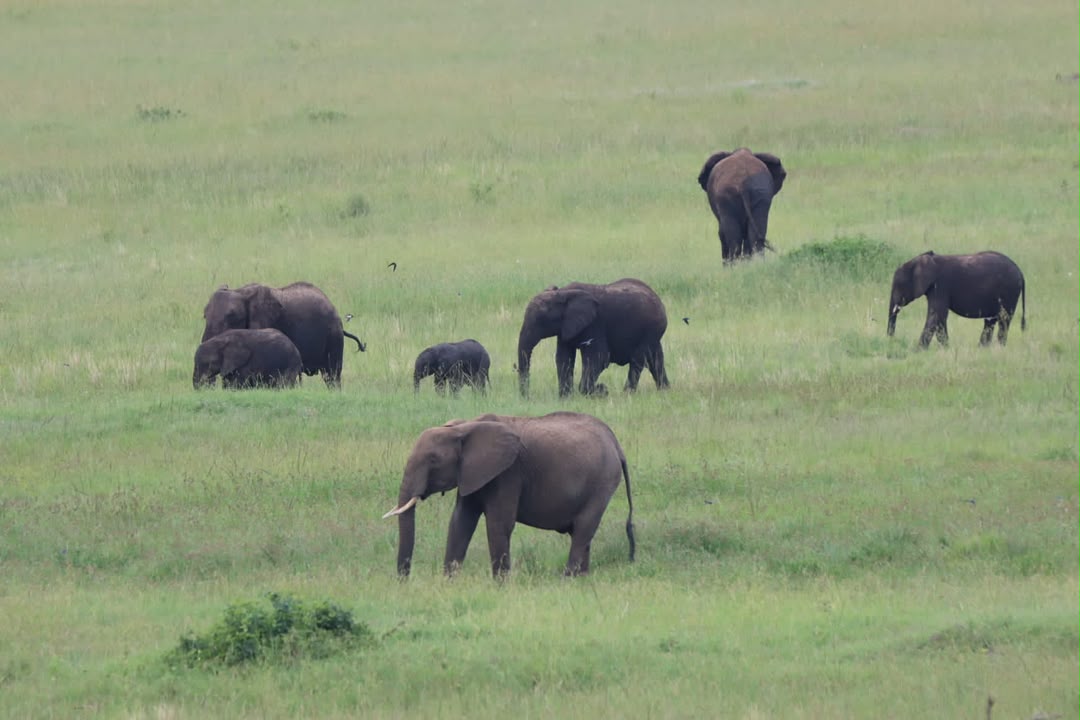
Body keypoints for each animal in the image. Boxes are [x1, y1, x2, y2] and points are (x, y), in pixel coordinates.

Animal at [382, 412, 636, 579]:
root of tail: (617, 445)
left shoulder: (508, 473)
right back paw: (582, 579)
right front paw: (449, 582)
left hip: (602, 481)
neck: (464, 427)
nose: (404, 580)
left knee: (583, 530)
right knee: (583, 535)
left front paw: (500, 586)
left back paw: (567, 579)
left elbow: (498, 523)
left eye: (433, 460)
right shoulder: (472, 473)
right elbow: (460, 522)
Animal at [517, 278, 669, 398]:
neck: (562, 293)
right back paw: (665, 391)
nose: (527, 398)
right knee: (655, 360)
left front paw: (601, 391)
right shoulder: (566, 326)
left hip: (650, 329)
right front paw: (565, 398)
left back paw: (627, 395)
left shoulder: (595, 324)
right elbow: (563, 358)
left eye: (539, 320)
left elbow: (598, 357)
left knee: (638, 360)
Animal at [887, 251, 1027, 347]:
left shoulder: (941, 286)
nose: (891, 339)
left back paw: (998, 348)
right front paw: (946, 349)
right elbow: (940, 317)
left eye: (899, 285)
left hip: (1010, 291)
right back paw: (982, 349)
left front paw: (918, 350)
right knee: (990, 321)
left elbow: (936, 314)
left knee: (1003, 320)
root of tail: (1020, 271)